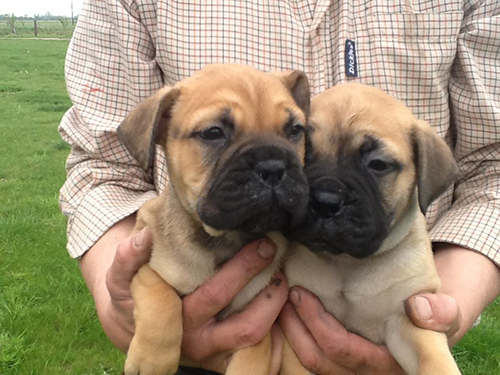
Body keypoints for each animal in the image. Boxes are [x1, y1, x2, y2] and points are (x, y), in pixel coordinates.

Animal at [118, 65, 310, 375]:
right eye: (213, 133)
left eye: (295, 130)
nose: (273, 167)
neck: (226, 240)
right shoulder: (145, 265)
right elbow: (159, 293)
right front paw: (153, 358)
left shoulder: (255, 320)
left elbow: (253, 355)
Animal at [284, 84, 462, 375]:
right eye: (304, 152)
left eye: (378, 164)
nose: (324, 201)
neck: (347, 264)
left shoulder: (407, 319)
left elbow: (433, 358)